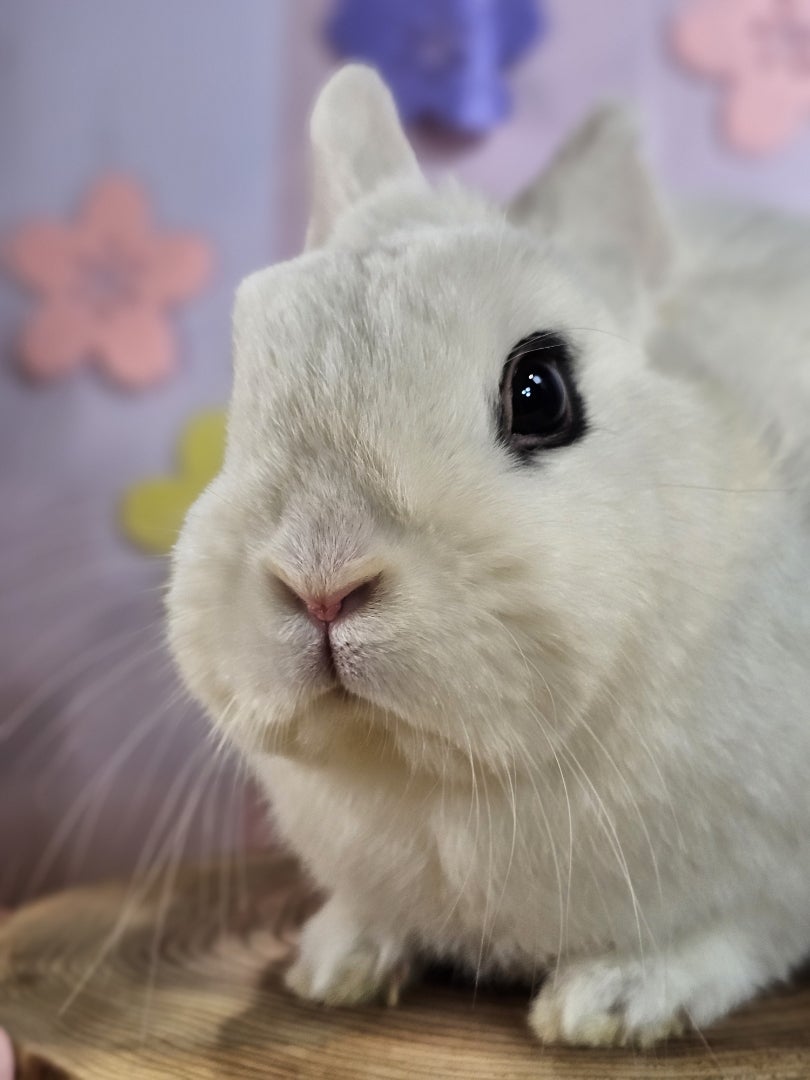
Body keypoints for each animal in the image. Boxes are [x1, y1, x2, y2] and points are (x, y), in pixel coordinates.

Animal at [166, 65, 810, 1048]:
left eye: (540, 393)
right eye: (246, 385)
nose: (322, 583)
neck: (451, 776)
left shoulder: (769, 878)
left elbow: (739, 932)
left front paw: (610, 1002)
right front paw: (336, 964)